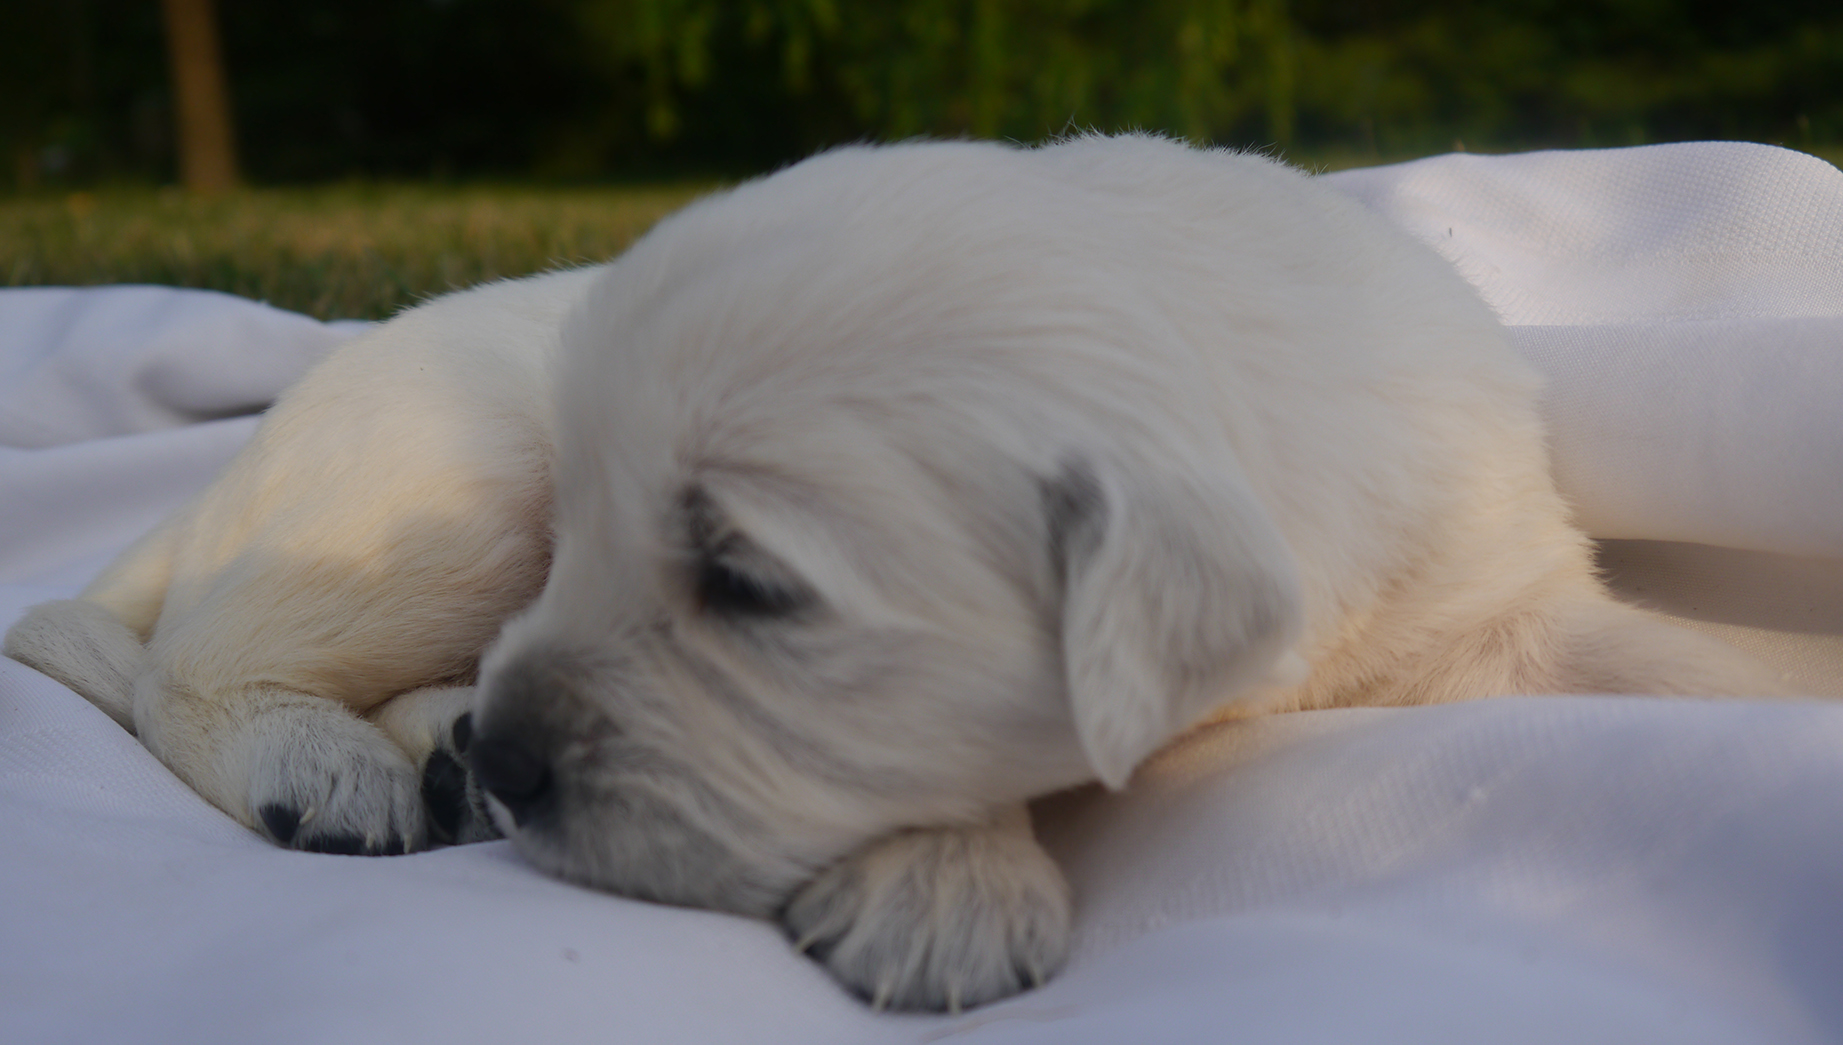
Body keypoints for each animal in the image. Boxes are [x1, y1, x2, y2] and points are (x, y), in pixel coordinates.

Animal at [6, 134, 1788, 1012]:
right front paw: (947, 881)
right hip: (439, 493)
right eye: (591, 525)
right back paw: (339, 761)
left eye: (745, 588)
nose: (511, 761)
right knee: (175, 661)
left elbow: (1675, 654)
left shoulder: (1494, 575)